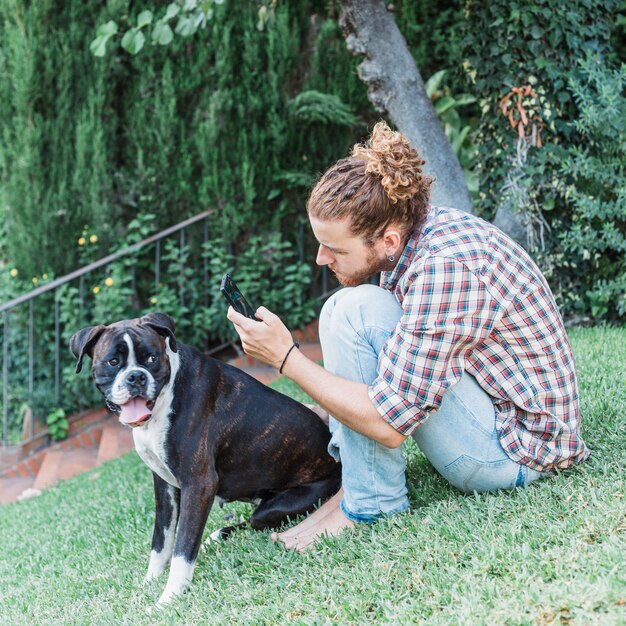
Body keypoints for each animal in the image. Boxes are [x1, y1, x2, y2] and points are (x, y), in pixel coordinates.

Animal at [70, 312, 338, 604]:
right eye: (114, 361)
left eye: (151, 358)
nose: (136, 377)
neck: (165, 398)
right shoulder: (164, 487)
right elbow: (161, 540)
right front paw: (149, 581)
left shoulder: (198, 484)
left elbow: (183, 547)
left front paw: (169, 598)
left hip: (277, 507)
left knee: (252, 523)